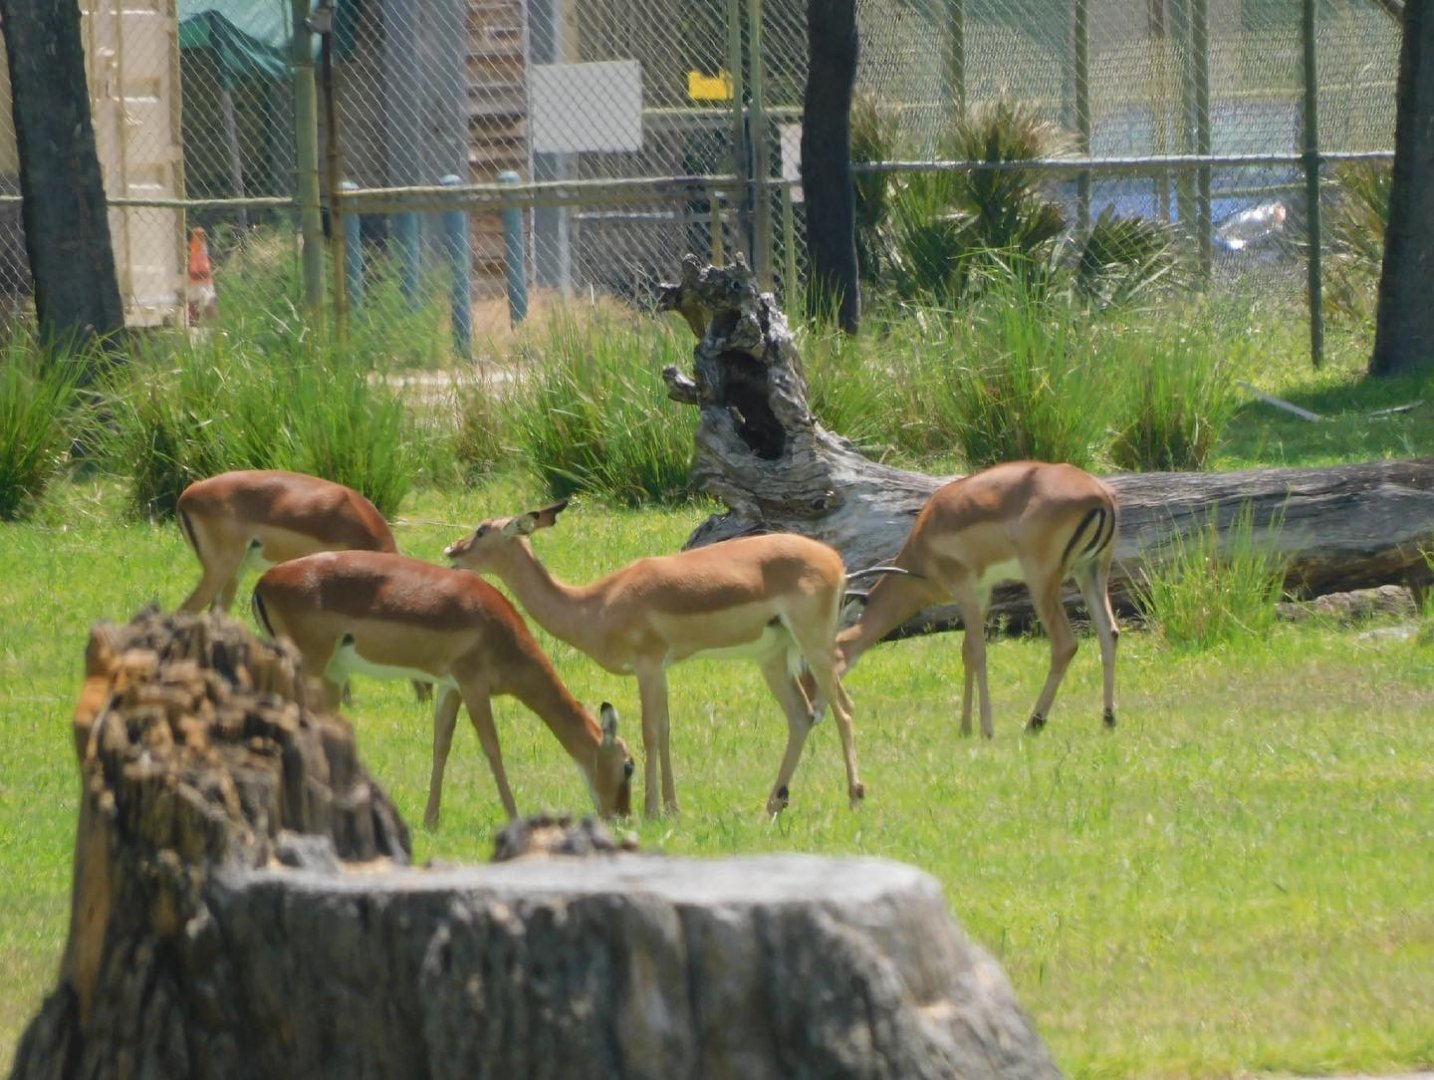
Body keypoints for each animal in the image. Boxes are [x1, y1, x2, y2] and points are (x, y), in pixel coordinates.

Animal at [251, 550, 635, 826]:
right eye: (629, 765)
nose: (622, 817)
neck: (498, 630)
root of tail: (263, 583)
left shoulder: (450, 688)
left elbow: (441, 745)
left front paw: (431, 819)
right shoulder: (473, 685)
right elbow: (492, 747)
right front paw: (514, 815)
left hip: (328, 673)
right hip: (311, 667)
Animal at [444, 501, 863, 818]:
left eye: (482, 530)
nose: (451, 552)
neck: (595, 604)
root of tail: (834, 560)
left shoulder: (647, 666)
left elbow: (649, 732)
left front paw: (650, 810)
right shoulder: (659, 670)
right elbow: (664, 731)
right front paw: (672, 808)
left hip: (815, 645)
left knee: (843, 708)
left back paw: (855, 796)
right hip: (772, 657)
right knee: (801, 716)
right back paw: (773, 805)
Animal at [816, 461, 1119, 738]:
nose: (817, 710)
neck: (924, 544)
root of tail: (1100, 495)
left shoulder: (966, 591)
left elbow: (977, 652)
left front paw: (986, 729)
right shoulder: (982, 594)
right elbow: (967, 652)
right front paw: (965, 726)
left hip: (1042, 582)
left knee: (1065, 644)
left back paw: (1034, 723)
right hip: (1091, 571)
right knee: (1109, 633)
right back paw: (1108, 719)